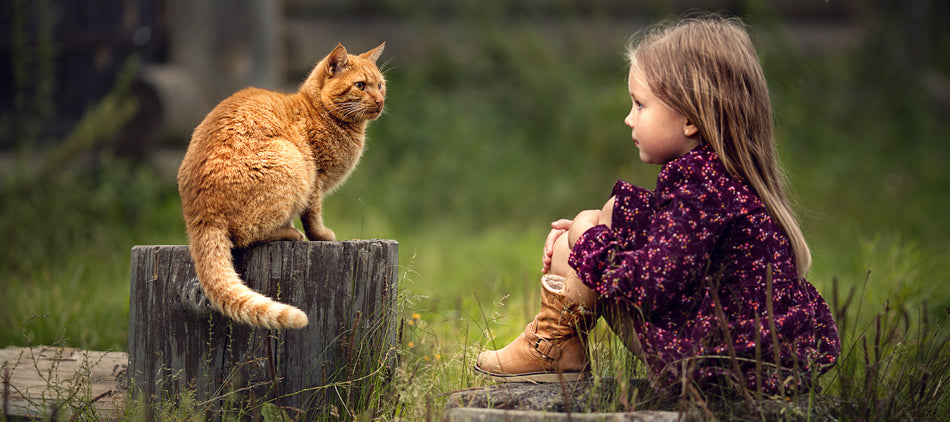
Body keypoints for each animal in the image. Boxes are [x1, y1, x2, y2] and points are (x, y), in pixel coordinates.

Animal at [178, 42, 386, 330]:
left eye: (380, 85)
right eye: (361, 85)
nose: (380, 101)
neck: (320, 111)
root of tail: (199, 213)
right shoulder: (315, 180)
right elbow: (313, 218)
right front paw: (321, 236)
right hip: (291, 161)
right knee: (246, 235)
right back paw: (290, 233)